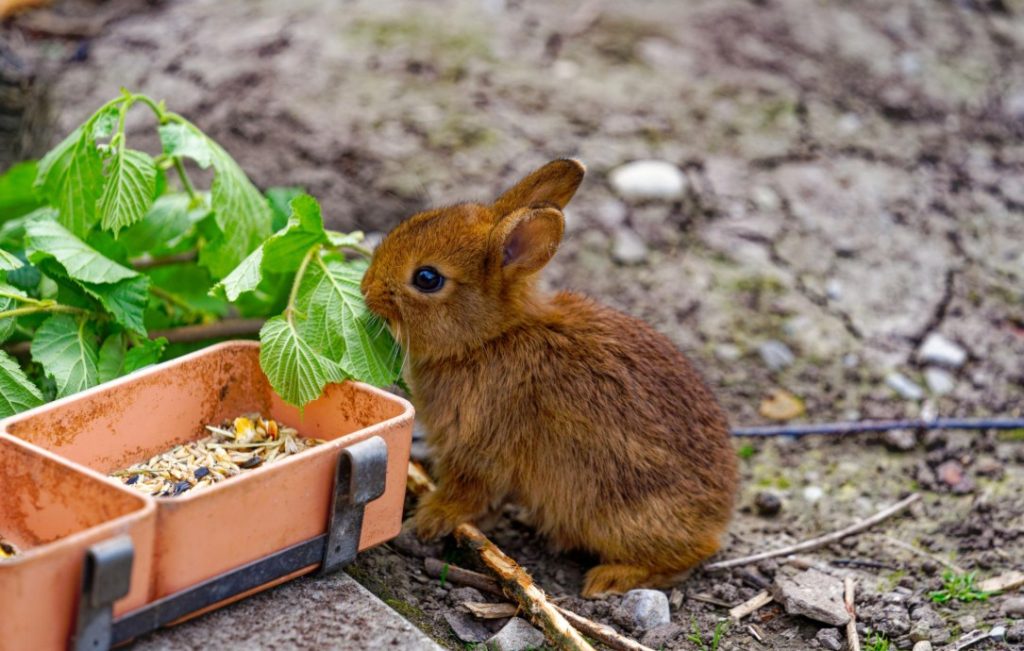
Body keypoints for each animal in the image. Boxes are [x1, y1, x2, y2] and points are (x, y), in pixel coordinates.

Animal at [361, 159, 738, 597]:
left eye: (427, 278)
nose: (366, 288)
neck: (490, 339)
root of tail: (718, 517)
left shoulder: (479, 448)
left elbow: (465, 494)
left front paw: (426, 521)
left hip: (620, 518)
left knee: (686, 556)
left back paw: (609, 579)